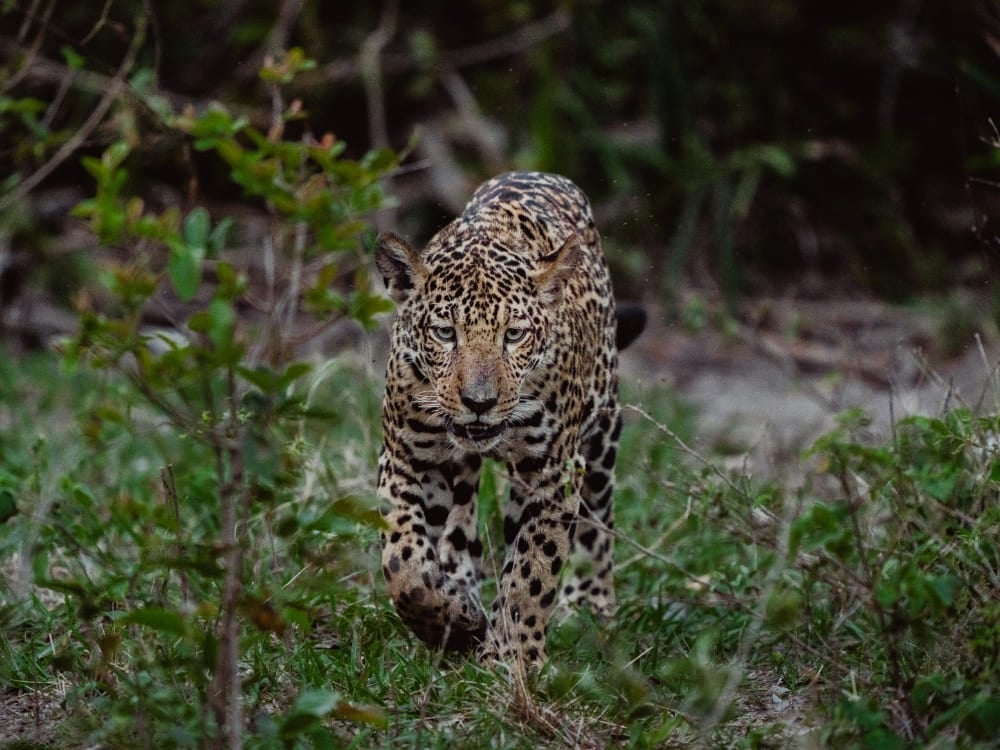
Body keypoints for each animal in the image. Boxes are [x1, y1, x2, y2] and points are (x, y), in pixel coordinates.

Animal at [375, 171, 645, 669]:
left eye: (514, 335)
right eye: (446, 333)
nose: (478, 401)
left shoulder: (554, 473)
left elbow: (532, 573)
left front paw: (512, 656)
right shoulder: (406, 457)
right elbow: (404, 561)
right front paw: (452, 618)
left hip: (601, 436)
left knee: (598, 520)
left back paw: (590, 606)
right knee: (460, 524)